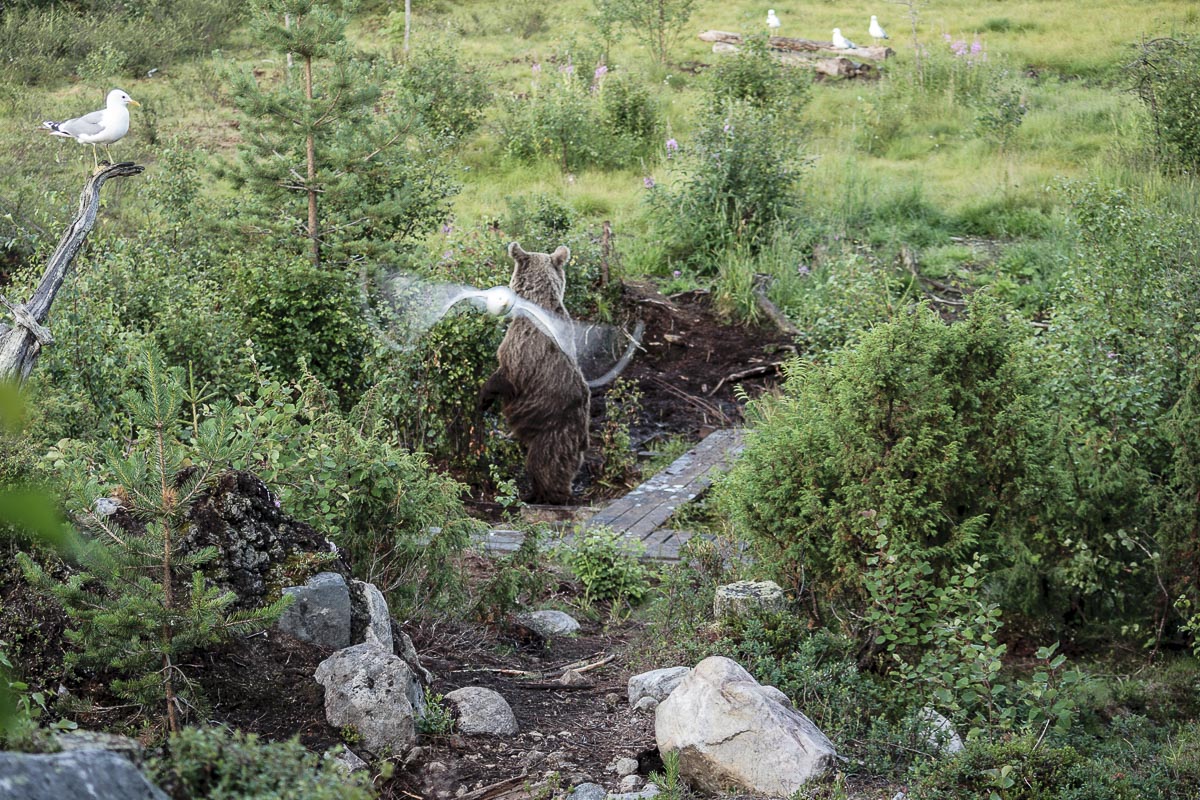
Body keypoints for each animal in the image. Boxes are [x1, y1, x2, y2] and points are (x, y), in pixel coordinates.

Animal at [479, 242, 591, 505]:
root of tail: (582, 437)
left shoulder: (523, 346)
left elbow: (506, 373)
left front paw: (483, 397)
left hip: (553, 431)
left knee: (544, 462)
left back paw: (541, 494)